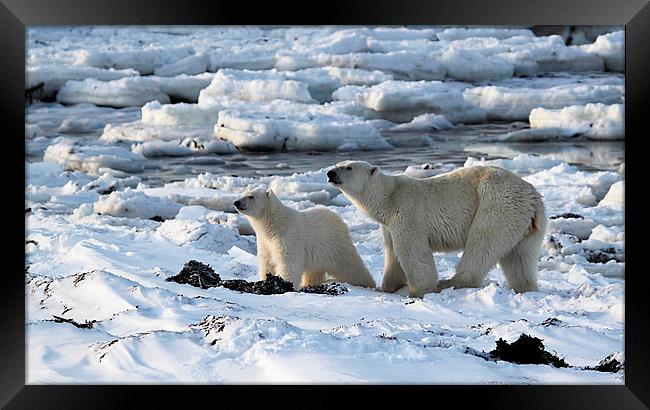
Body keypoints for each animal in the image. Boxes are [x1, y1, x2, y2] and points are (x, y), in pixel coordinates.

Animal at [326, 161, 544, 298]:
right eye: (338, 164)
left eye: (348, 167)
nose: (330, 173)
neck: (388, 197)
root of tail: (532, 197)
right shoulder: (388, 225)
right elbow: (392, 254)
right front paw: (386, 287)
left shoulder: (407, 212)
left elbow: (413, 253)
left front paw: (419, 291)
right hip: (526, 224)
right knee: (520, 257)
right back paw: (525, 287)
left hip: (495, 204)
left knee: (482, 243)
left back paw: (449, 282)